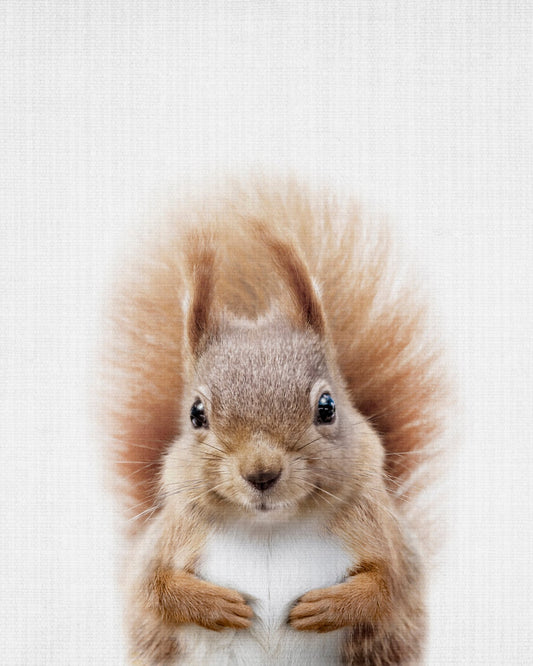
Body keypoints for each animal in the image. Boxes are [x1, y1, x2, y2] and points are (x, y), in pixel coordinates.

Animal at [101, 179, 448, 665]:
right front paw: (216, 604)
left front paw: (330, 605)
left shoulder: (386, 536)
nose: (262, 473)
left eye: (327, 406)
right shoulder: (168, 540)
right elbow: (153, 588)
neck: (269, 529)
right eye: (196, 414)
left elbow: (391, 583)